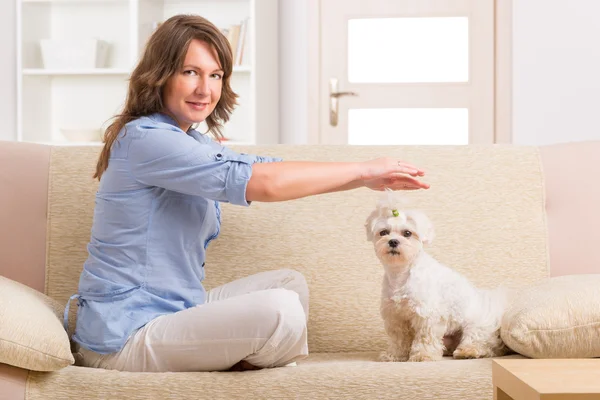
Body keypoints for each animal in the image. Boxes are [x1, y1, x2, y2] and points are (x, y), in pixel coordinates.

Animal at [366, 191, 510, 362]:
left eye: (407, 233)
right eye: (383, 233)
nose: (393, 241)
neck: (401, 274)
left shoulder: (427, 313)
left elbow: (425, 337)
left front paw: (423, 355)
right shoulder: (395, 316)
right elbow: (398, 338)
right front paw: (395, 355)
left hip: (476, 324)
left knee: (482, 343)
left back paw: (468, 351)